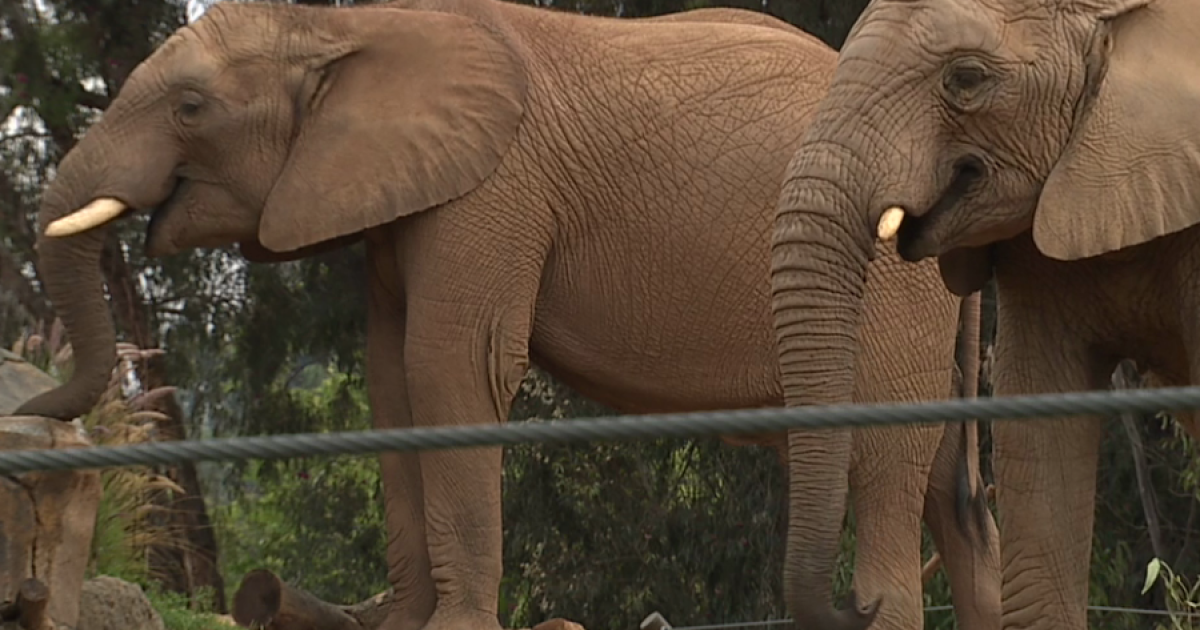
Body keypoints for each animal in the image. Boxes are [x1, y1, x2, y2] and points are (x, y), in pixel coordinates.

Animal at [13, 1, 998, 630]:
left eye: (191, 107)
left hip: (896, 278)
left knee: (889, 450)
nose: (35, 408)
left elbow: (453, 366)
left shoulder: (491, 195)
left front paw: (449, 627)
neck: (348, 25)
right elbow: (391, 384)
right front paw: (401, 623)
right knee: (945, 487)